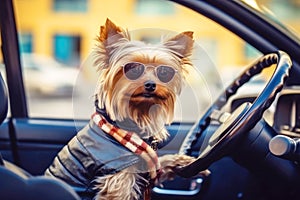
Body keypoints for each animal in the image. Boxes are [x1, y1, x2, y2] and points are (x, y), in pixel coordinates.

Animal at [44, 18, 209, 200]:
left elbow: (163, 162)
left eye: (164, 72)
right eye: (133, 69)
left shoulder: (148, 167)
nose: (150, 84)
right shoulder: (118, 181)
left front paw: (185, 160)